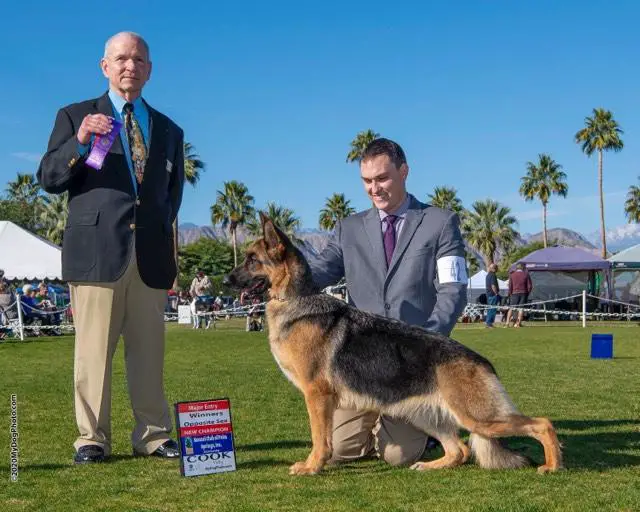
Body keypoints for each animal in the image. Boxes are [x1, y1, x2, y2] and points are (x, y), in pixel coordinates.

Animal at [224, 215, 560, 476]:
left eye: (252, 260)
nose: (225, 281)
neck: (297, 300)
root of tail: (482, 362)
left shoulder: (317, 396)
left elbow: (320, 439)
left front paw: (311, 467)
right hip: (425, 416)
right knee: (460, 450)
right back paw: (430, 465)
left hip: (479, 418)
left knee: (542, 423)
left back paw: (552, 466)